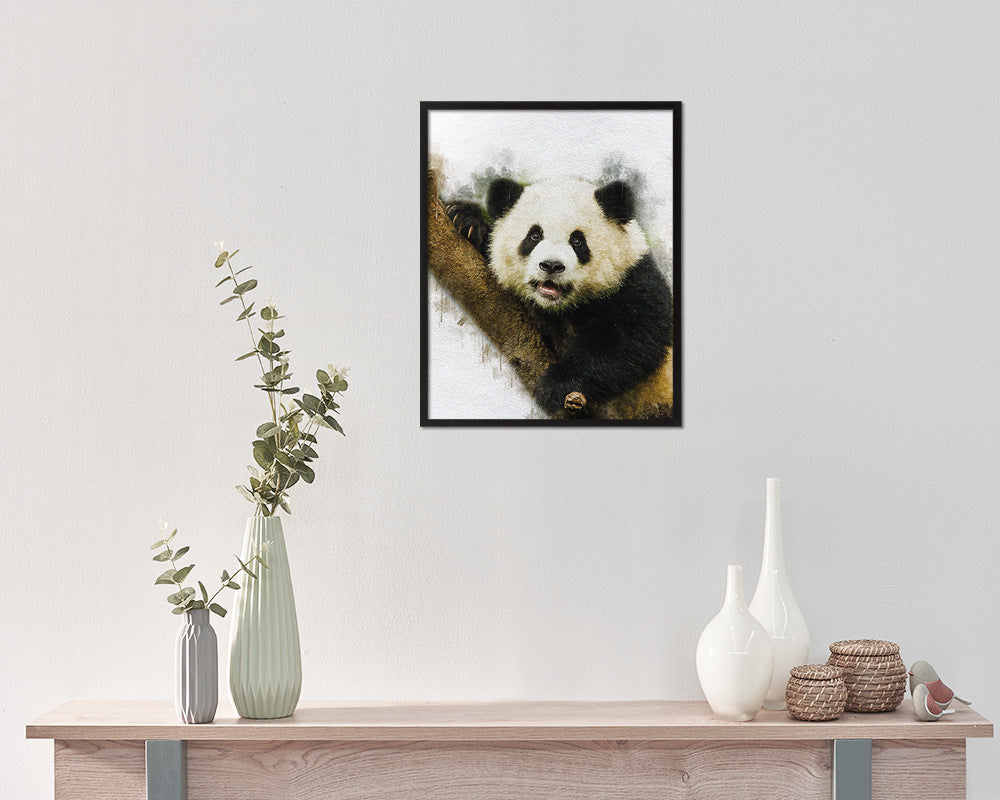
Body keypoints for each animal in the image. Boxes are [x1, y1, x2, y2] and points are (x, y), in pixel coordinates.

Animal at [446, 175, 673, 418]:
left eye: (577, 241)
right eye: (535, 235)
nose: (551, 265)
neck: (561, 307)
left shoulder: (634, 282)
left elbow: (631, 338)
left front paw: (556, 385)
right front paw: (466, 220)